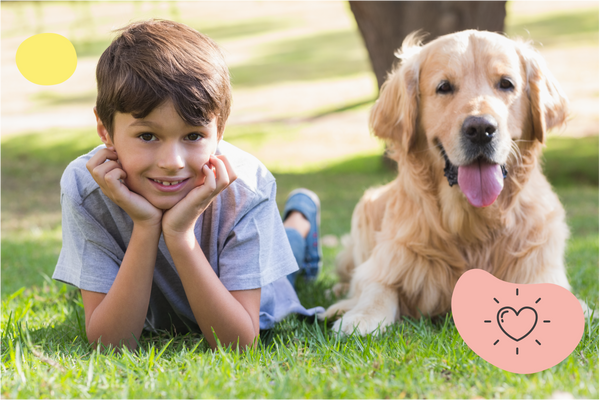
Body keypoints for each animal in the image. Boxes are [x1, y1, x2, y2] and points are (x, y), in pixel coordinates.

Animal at [322, 28, 584, 334]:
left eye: (506, 84)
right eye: (444, 87)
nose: (481, 129)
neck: (472, 225)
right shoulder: (390, 259)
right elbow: (376, 288)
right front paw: (359, 316)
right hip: (366, 207)